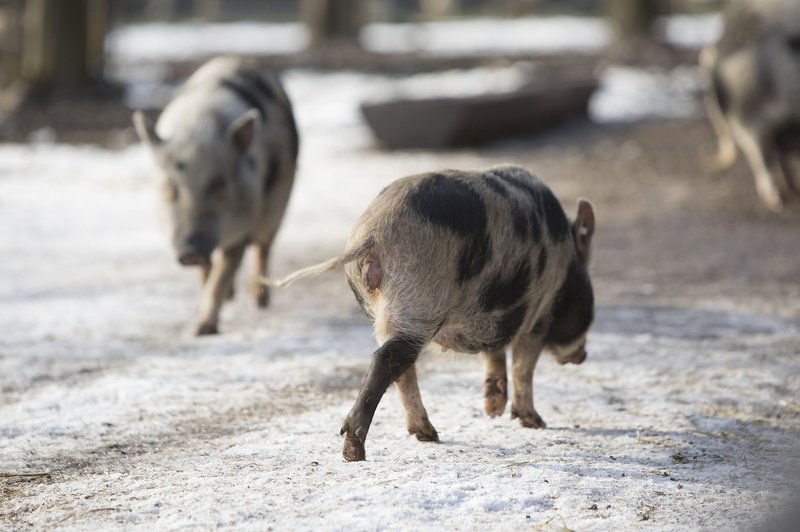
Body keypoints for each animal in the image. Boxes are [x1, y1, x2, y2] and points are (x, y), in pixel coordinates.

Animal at [133, 56, 298, 334]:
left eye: (219, 184)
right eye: (171, 187)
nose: (190, 251)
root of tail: (236, 58)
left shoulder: (242, 225)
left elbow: (223, 273)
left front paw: (202, 331)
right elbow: (207, 272)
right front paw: (201, 323)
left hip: (278, 203)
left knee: (263, 246)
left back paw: (259, 301)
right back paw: (233, 296)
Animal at [272, 166, 596, 462]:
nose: (583, 356)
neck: (565, 262)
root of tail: (373, 235)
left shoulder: (493, 316)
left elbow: (494, 355)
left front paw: (493, 410)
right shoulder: (538, 313)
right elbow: (523, 367)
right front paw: (535, 423)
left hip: (383, 312)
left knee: (401, 366)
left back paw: (427, 435)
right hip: (418, 297)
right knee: (386, 360)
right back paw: (357, 453)